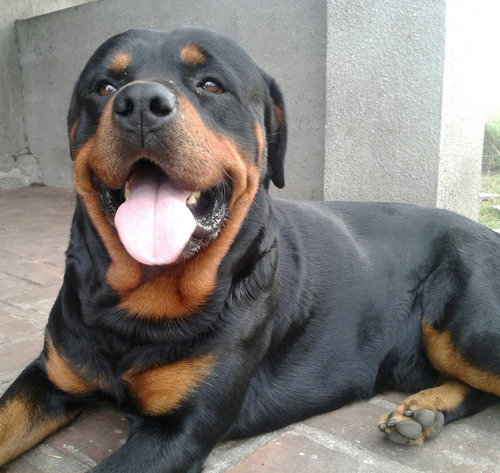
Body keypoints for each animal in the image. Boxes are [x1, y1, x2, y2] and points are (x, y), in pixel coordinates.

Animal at [0, 26, 500, 472]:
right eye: (104, 87)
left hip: (467, 333)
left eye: (211, 84)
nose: (139, 102)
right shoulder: (49, 375)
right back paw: (424, 411)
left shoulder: (180, 430)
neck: (139, 307)